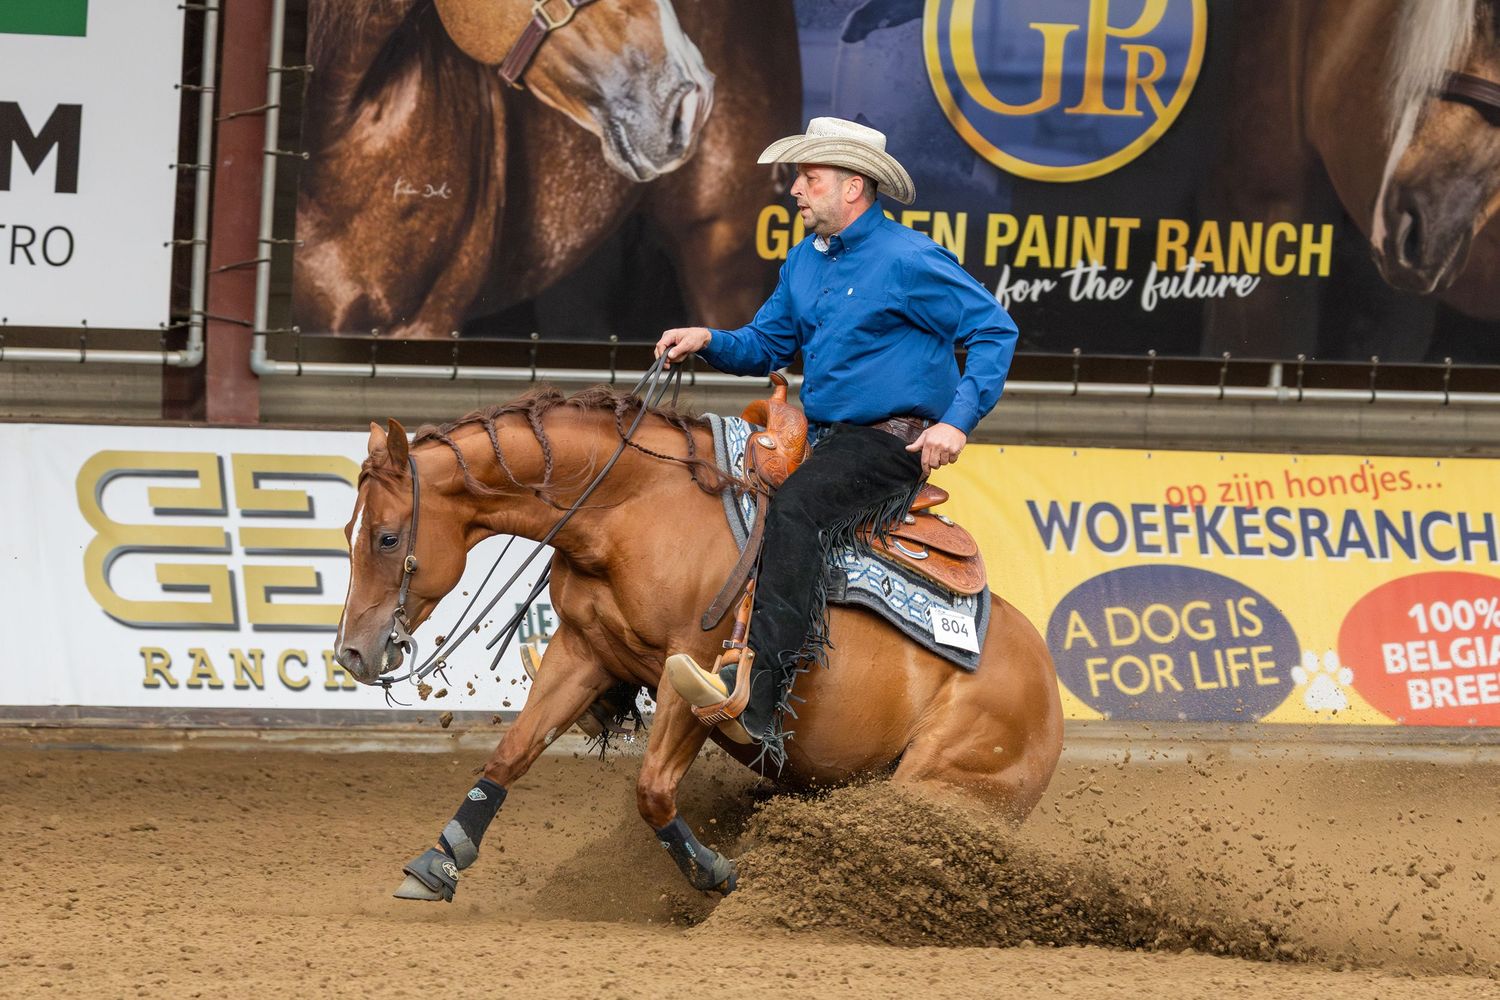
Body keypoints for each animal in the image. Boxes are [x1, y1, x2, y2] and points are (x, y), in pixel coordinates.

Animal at [332, 388, 1063, 898]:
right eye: (347, 530)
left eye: (388, 537)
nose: (352, 653)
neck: (634, 509)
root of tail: (1049, 694)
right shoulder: (583, 651)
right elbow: (511, 755)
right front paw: (440, 859)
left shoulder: (696, 670)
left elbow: (654, 788)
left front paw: (714, 872)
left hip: (937, 783)